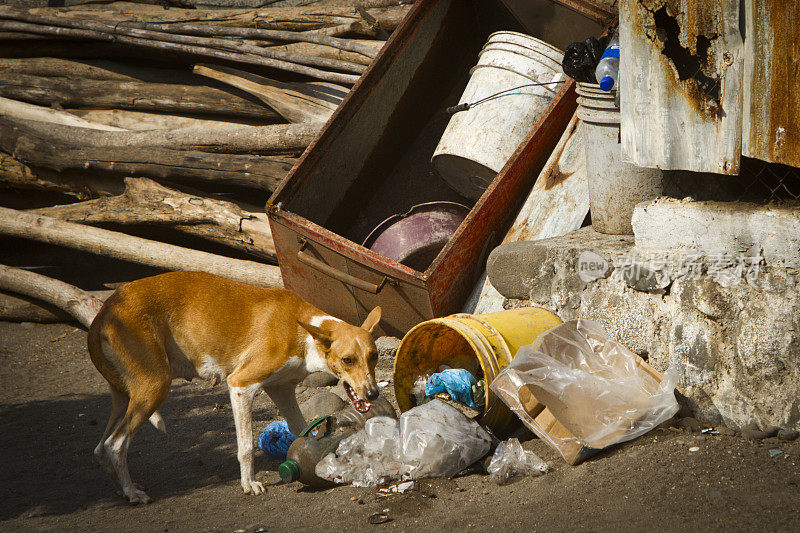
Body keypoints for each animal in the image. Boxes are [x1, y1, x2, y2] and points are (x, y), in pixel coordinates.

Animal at [89, 272, 382, 500]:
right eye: (347, 360)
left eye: (375, 356)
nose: (373, 393)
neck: (303, 332)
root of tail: (108, 306)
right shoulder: (241, 386)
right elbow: (246, 447)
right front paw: (248, 484)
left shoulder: (282, 390)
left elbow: (303, 431)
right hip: (154, 388)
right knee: (115, 444)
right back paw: (131, 493)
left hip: (126, 395)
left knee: (101, 447)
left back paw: (122, 490)